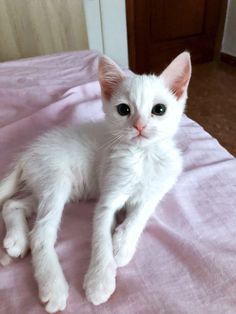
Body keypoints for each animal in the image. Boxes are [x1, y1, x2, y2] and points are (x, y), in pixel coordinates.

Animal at [0, 51, 192, 312]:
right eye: (123, 109)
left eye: (159, 109)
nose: (139, 125)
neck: (141, 157)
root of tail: (28, 152)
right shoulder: (107, 199)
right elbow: (101, 237)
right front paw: (99, 280)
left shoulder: (156, 191)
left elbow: (139, 214)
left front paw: (121, 245)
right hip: (56, 182)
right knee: (40, 234)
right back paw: (53, 287)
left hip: (54, 187)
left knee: (12, 204)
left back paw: (16, 240)